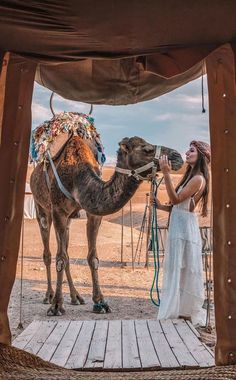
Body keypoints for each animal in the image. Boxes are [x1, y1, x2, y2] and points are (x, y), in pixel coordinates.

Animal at [30, 124, 183, 314]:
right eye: (147, 149)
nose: (178, 156)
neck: (77, 177)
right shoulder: (58, 211)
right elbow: (60, 258)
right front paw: (57, 305)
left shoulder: (93, 213)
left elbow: (92, 257)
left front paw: (100, 302)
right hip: (42, 208)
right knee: (49, 253)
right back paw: (49, 296)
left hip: (68, 219)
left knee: (65, 250)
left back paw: (76, 297)